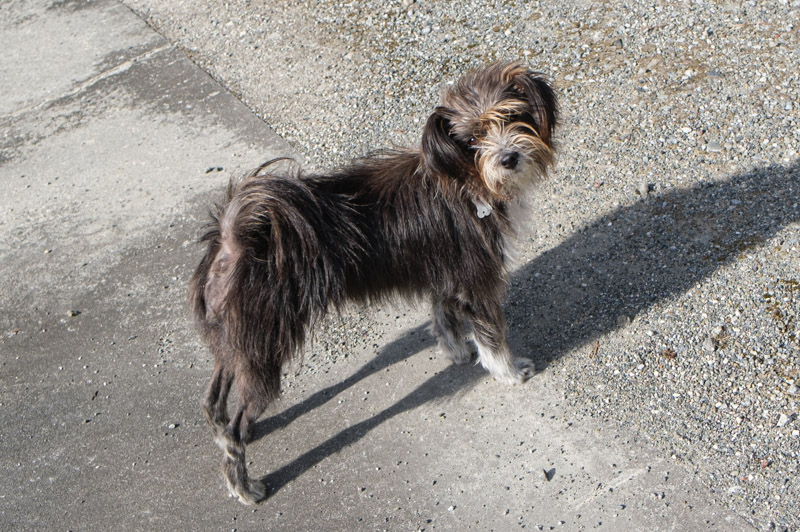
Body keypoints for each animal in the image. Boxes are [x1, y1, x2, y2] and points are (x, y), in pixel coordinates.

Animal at [191, 62, 560, 502]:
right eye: (472, 138)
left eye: (512, 115)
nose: (509, 158)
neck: (465, 177)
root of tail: (234, 237)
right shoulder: (478, 281)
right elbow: (491, 336)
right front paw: (508, 371)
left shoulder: (445, 273)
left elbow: (443, 314)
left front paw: (454, 350)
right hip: (264, 349)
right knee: (236, 425)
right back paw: (244, 484)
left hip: (236, 343)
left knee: (214, 399)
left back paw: (226, 431)